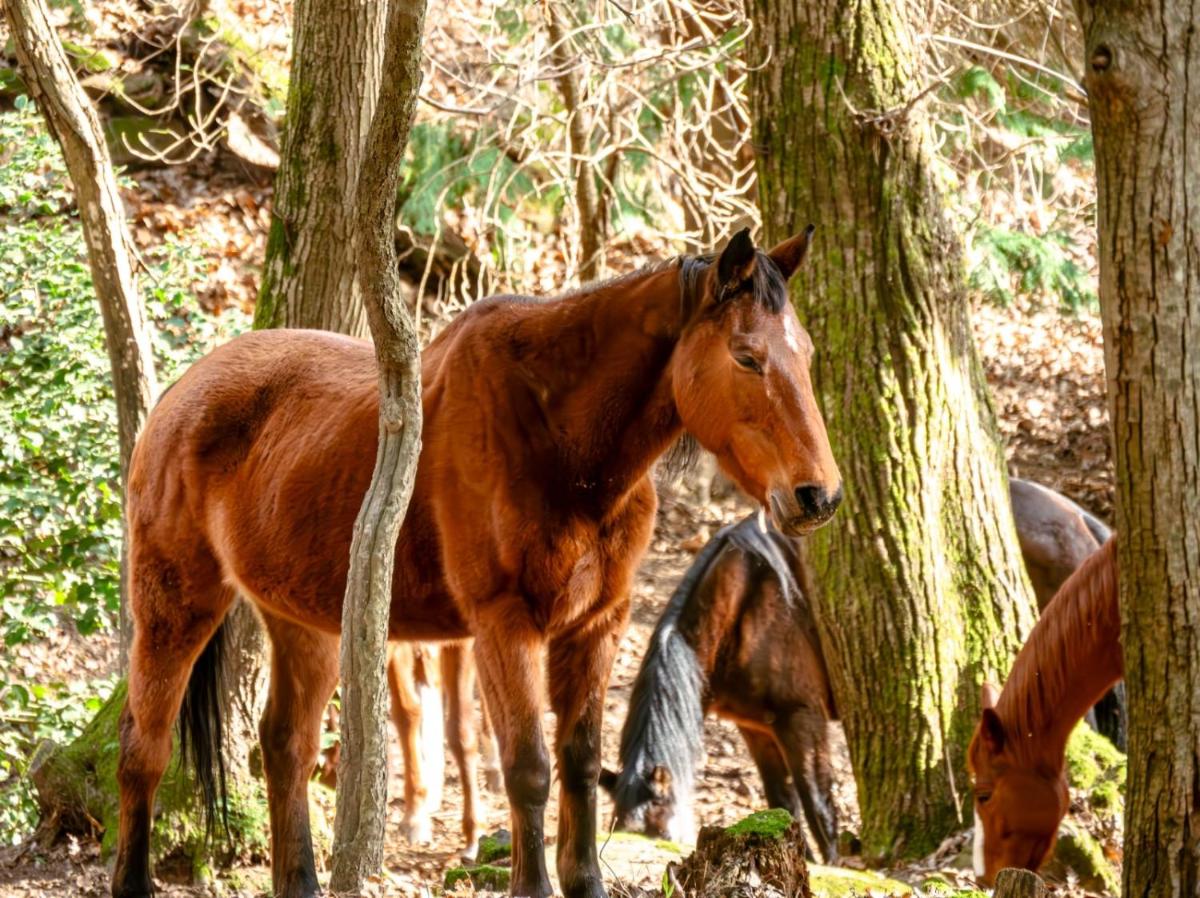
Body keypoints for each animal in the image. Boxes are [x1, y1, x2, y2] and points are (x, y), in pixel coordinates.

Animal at [111, 227, 842, 898]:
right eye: (747, 357)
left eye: (806, 354)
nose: (819, 495)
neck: (559, 441)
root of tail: (179, 395)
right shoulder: (503, 625)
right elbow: (527, 769)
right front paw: (532, 884)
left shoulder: (596, 625)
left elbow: (579, 762)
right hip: (175, 604)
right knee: (144, 749)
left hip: (303, 622)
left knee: (286, 746)